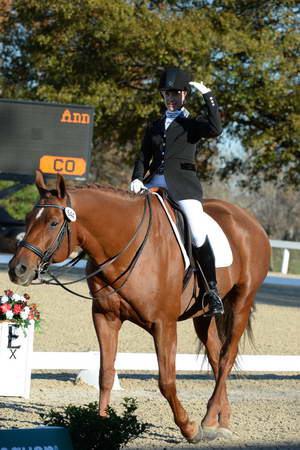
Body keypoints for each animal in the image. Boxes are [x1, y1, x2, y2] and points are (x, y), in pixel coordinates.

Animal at [9, 172, 270, 442]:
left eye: (52, 223)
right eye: (28, 218)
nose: (17, 269)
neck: (125, 246)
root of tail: (248, 219)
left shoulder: (164, 325)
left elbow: (166, 381)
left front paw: (188, 427)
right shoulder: (106, 317)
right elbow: (106, 374)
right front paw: (100, 426)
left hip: (241, 302)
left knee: (227, 356)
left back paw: (208, 422)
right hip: (203, 315)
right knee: (216, 357)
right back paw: (222, 421)